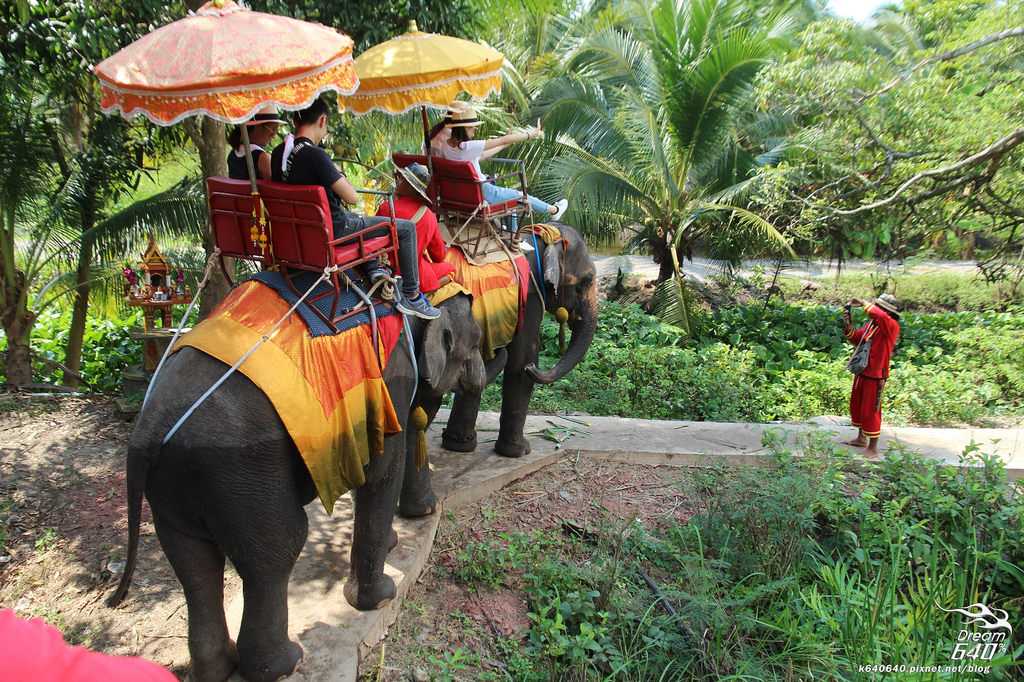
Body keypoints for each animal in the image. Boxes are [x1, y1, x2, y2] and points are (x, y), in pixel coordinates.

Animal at [108, 292, 483, 679]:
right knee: (277, 551)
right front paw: (380, 598)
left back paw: (217, 669)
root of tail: (148, 433)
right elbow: (381, 471)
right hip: (240, 472)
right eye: (477, 343)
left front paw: (393, 542)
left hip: (175, 490)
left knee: (194, 566)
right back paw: (286, 664)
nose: (481, 378)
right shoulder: (391, 381)